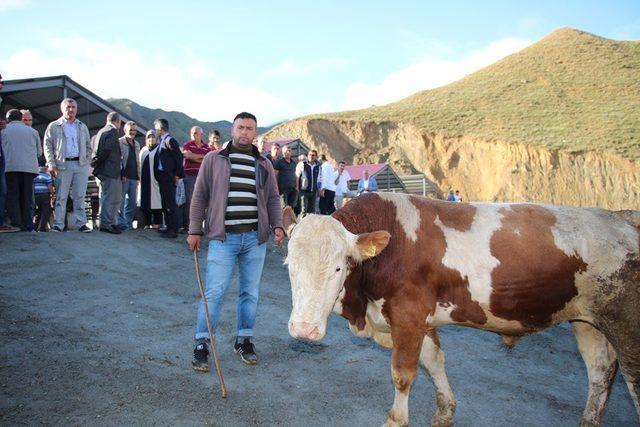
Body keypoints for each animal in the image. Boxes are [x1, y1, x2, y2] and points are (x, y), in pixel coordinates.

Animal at [284, 194, 640, 427]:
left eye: (338, 267)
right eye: (289, 265)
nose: (303, 329)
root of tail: (624, 217)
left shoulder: (408, 317)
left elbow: (403, 374)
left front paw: (396, 419)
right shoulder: (421, 319)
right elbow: (433, 362)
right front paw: (445, 413)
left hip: (627, 330)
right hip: (587, 321)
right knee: (599, 372)